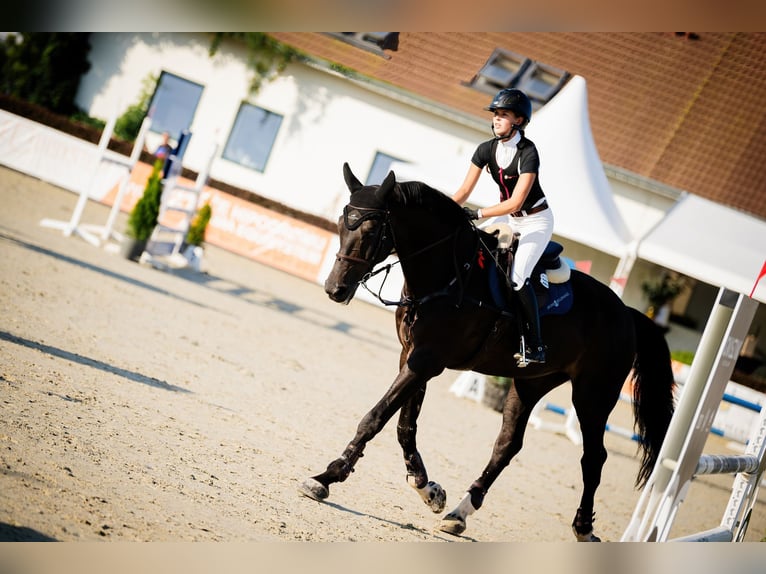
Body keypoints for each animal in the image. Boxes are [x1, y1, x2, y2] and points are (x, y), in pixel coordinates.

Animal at [300, 164, 680, 544]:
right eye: (341, 223)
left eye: (370, 229)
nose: (335, 289)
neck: (448, 275)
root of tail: (626, 312)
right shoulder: (412, 357)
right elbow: (405, 426)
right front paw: (429, 489)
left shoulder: (425, 361)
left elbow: (375, 418)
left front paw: (327, 477)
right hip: (531, 383)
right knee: (507, 445)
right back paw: (459, 513)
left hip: (593, 395)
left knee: (593, 458)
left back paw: (584, 528)